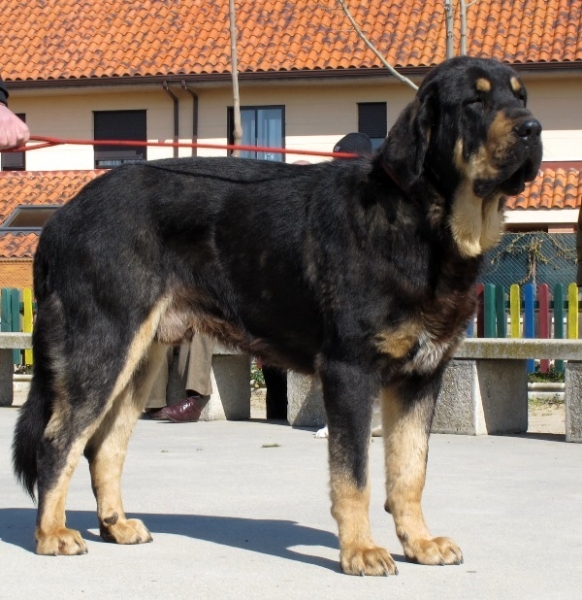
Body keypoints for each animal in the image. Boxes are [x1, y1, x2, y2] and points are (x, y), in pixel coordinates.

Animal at [13, 57, 544, 576]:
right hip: (103, 348)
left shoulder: (422, 376)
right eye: (475, 101)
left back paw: (116, 525)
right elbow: (354, 476)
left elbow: (410, 470)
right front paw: (360, 551)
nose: (533, 128)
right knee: (57, 442)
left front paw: (418, 542)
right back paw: (51, 534)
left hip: (139, 359)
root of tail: (60, 219)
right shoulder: (350, 372)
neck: (422, 220)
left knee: (104, 446)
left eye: (520, 96)